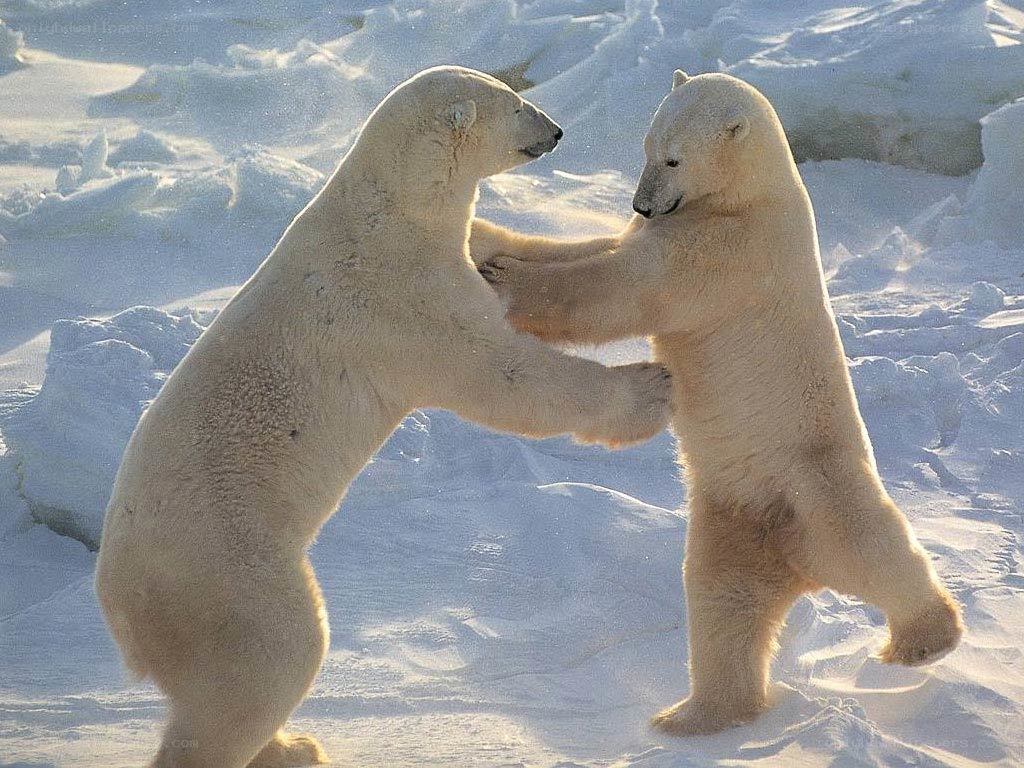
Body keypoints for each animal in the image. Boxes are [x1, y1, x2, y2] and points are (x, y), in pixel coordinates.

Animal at [94, 65, 673, 768]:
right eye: (514, 104)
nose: (558, 130)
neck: (389, 213)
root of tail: (121, 615)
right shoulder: (398, 301)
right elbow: (499, 377)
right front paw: (649, 389)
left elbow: (509, 249)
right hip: (223, 571)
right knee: (272, 659)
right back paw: (289, 742)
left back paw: (290, 746)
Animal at [474, 70, 963, 735]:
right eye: (647, 146)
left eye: (674, 158)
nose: (641, 204)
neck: (749, 198)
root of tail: (797, 564)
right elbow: (601, 248)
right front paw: (488, 245)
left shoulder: (727, 255)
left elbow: (623, 289)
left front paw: (506, 278)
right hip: (730, 518)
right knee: (722, 605)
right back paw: (695, 715)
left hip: (814, 488)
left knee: (872, 550)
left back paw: (922, 638)